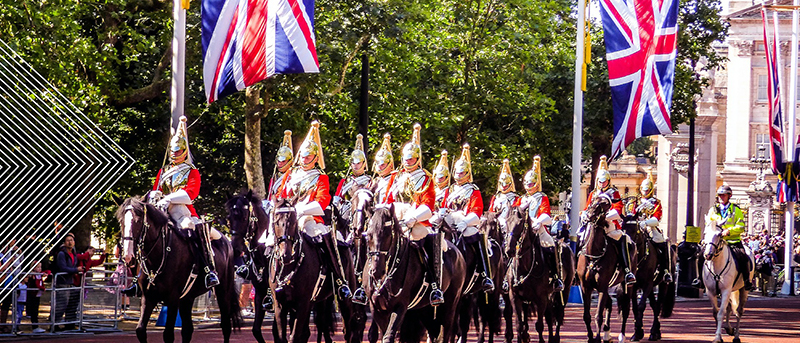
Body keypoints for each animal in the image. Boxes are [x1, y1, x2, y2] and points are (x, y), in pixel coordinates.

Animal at [115, 199, 241, 343]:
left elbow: (168, 335)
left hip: (223, 291)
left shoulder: (173, 298)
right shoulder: (148, 297)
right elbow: (140, 330)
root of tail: (226, 240)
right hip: (187, 298)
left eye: (138, 221)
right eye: (121, 221)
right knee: (188, 330)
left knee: (225, 325)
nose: (127, 256)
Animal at [366, 204, 466, 343]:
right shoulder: (376, 308)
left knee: (446, 332)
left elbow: (388, 336)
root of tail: (458, 253)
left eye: (387, 234)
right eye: (369, 234)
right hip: (424, 310)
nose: (376, 271)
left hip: (450, 305)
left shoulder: (400, 306)